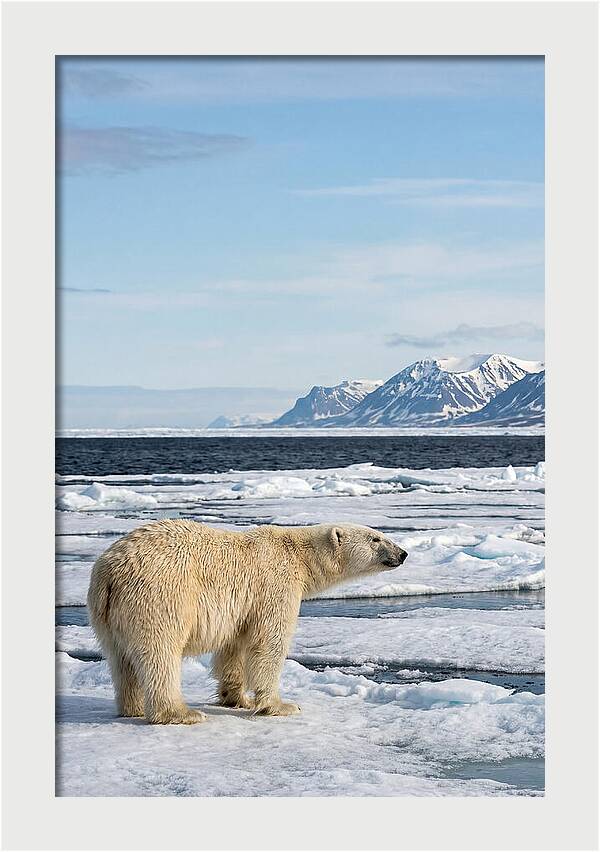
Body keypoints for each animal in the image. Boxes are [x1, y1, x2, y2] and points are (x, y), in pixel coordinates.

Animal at [87, 520, 407, 725]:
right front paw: (281, 705)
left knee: (120, 659)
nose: (403, 553)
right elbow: (269, 642)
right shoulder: (275, 584)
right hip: (159, 596)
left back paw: (132, 708)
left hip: (106, 614)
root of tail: (109, 572)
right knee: (160, 653)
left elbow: (234, 647)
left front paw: (237, 698)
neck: (299, 555)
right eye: (376, 538)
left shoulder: (243, 607)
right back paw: (181, 713)